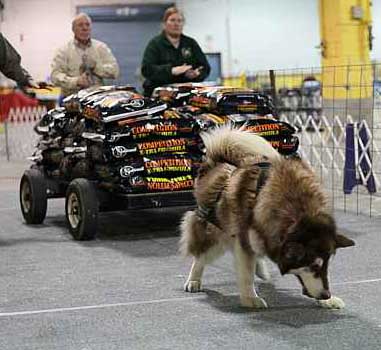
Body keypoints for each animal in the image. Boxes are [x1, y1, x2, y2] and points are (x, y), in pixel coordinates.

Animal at [180, 126, 354, 308]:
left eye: (326, 265)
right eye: (314, 265)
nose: (326, 294)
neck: (297, 208)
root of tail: (214, 162)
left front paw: (329, 301)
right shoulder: (243, 239)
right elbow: (246, 272)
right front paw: (250, 298)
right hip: (216, 233)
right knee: (201, 256)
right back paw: (194, 280)